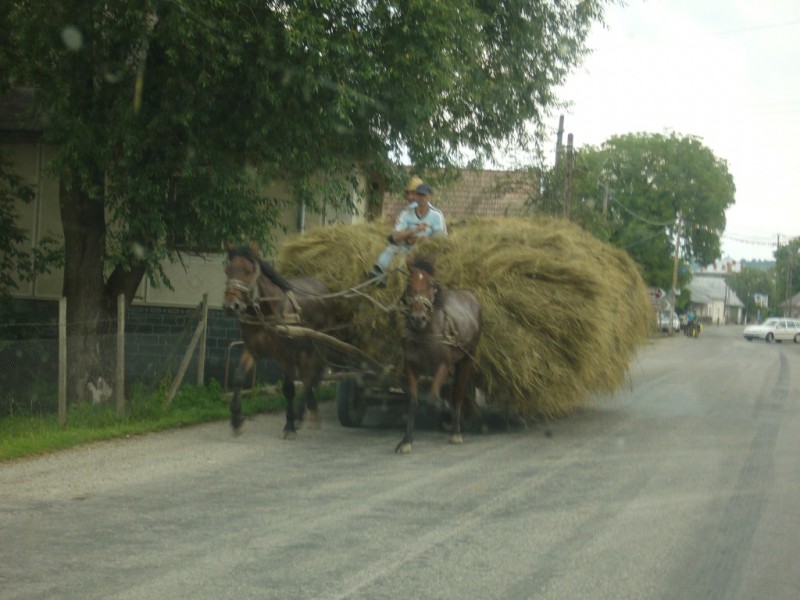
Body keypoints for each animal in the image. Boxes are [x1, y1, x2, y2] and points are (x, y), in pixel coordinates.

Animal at [223, 241, 336, 438]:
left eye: (249, 271)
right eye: (228, 270)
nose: (232, 305)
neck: (266, 310)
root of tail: (322, 286)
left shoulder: (286, 354)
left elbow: (288, 388)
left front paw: (289, 425)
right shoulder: (252, 348)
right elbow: (238, 377)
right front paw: (236, 420)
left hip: (319, 345)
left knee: (311, 377)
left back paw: (299, 415)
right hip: (304, 350)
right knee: (308, 377)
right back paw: (308, 412)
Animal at [398, 254, 482, 454]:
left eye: (431, 285)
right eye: (409, 284)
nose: (418, 318)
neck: (425, 332)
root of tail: (470, 296)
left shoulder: (444, 365)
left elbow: (433, 397)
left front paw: (446, 413)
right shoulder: (411, 367)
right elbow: (413, 402)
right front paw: (406, 440)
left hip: (467, 358)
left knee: (459, 393)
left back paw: (456, 430)